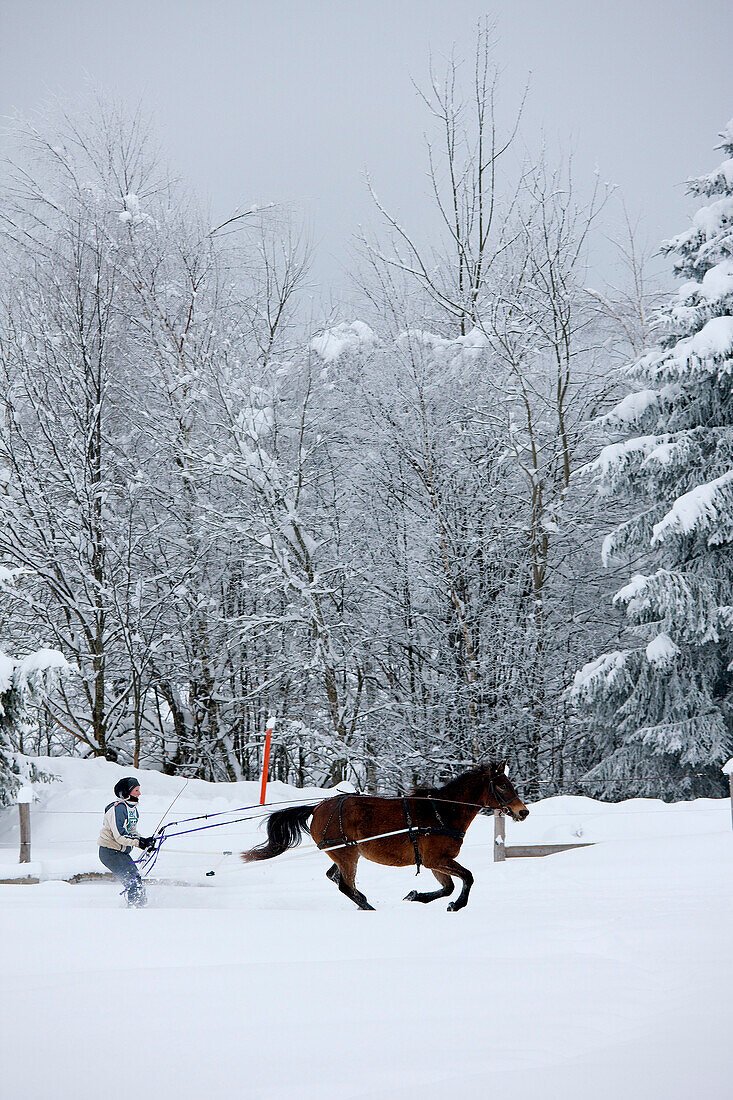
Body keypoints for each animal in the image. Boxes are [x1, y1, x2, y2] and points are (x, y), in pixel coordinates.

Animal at [242, 765, 528, 910]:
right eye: (502, 785)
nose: (522, 811)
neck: (442, 811)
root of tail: (318, 807)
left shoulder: (435, 862)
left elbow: (447, 887)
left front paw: (416, 896)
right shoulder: (436, 859)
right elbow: (467, 878)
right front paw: (457, 905)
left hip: (346, 853)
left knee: (336, 878)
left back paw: (363, 901)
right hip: (346, 853)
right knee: (344, 884)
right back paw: (367, 907)